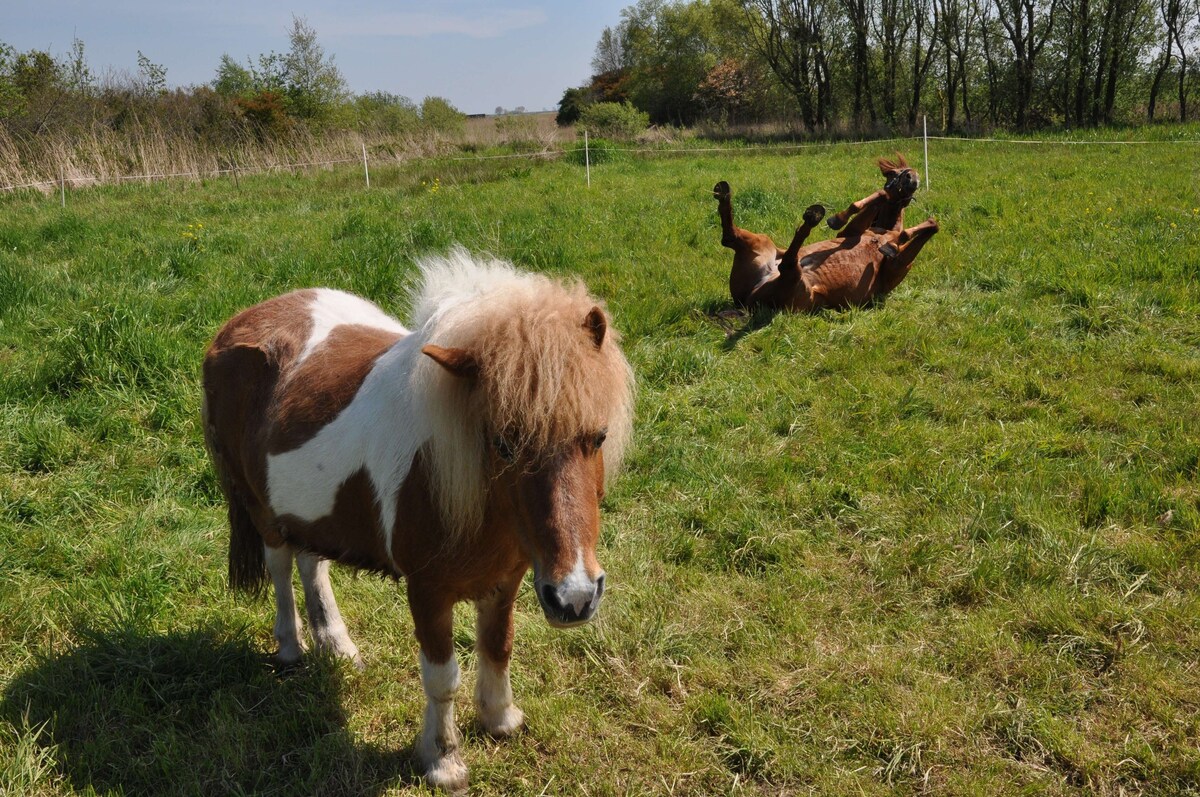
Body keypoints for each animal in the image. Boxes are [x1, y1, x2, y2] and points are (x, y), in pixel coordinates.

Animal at [204, 250, 638, 792]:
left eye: (598, 437)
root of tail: (238, 324)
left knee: (311, 565)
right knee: (281, 566)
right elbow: (442, 676)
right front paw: (442, 760)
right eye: (504, 443)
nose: (575, 598)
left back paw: (338, 645)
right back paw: (290, 648)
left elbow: (498, 646)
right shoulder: (428, 591)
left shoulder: (509, 578)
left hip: (311, 511)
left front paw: (500, 718)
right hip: (263, 510)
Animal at [710, 152, 936, 312]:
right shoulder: (852, 232)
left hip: (795, 283)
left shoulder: (897, 266)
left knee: (784, 262)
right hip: (763, 245)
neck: (886, 230)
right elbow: (878, 197)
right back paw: (724, 193)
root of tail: (748, 300)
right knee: (733, 239)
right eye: (892, 173)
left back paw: (811, 217)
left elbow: (932, 225)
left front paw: (894, 243)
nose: (912, 177)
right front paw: (837, 218)